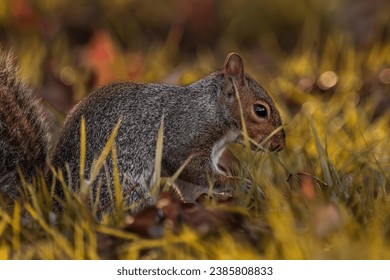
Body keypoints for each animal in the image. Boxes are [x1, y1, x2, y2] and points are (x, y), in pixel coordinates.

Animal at [0, 50, 286, 217]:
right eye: (260, 110)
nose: (280, 145)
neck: (211, 108)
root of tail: (51, 199)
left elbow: (192, 185)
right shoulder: (184, 141)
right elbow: (200, 172)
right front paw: (241, 184)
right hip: (120, 189)